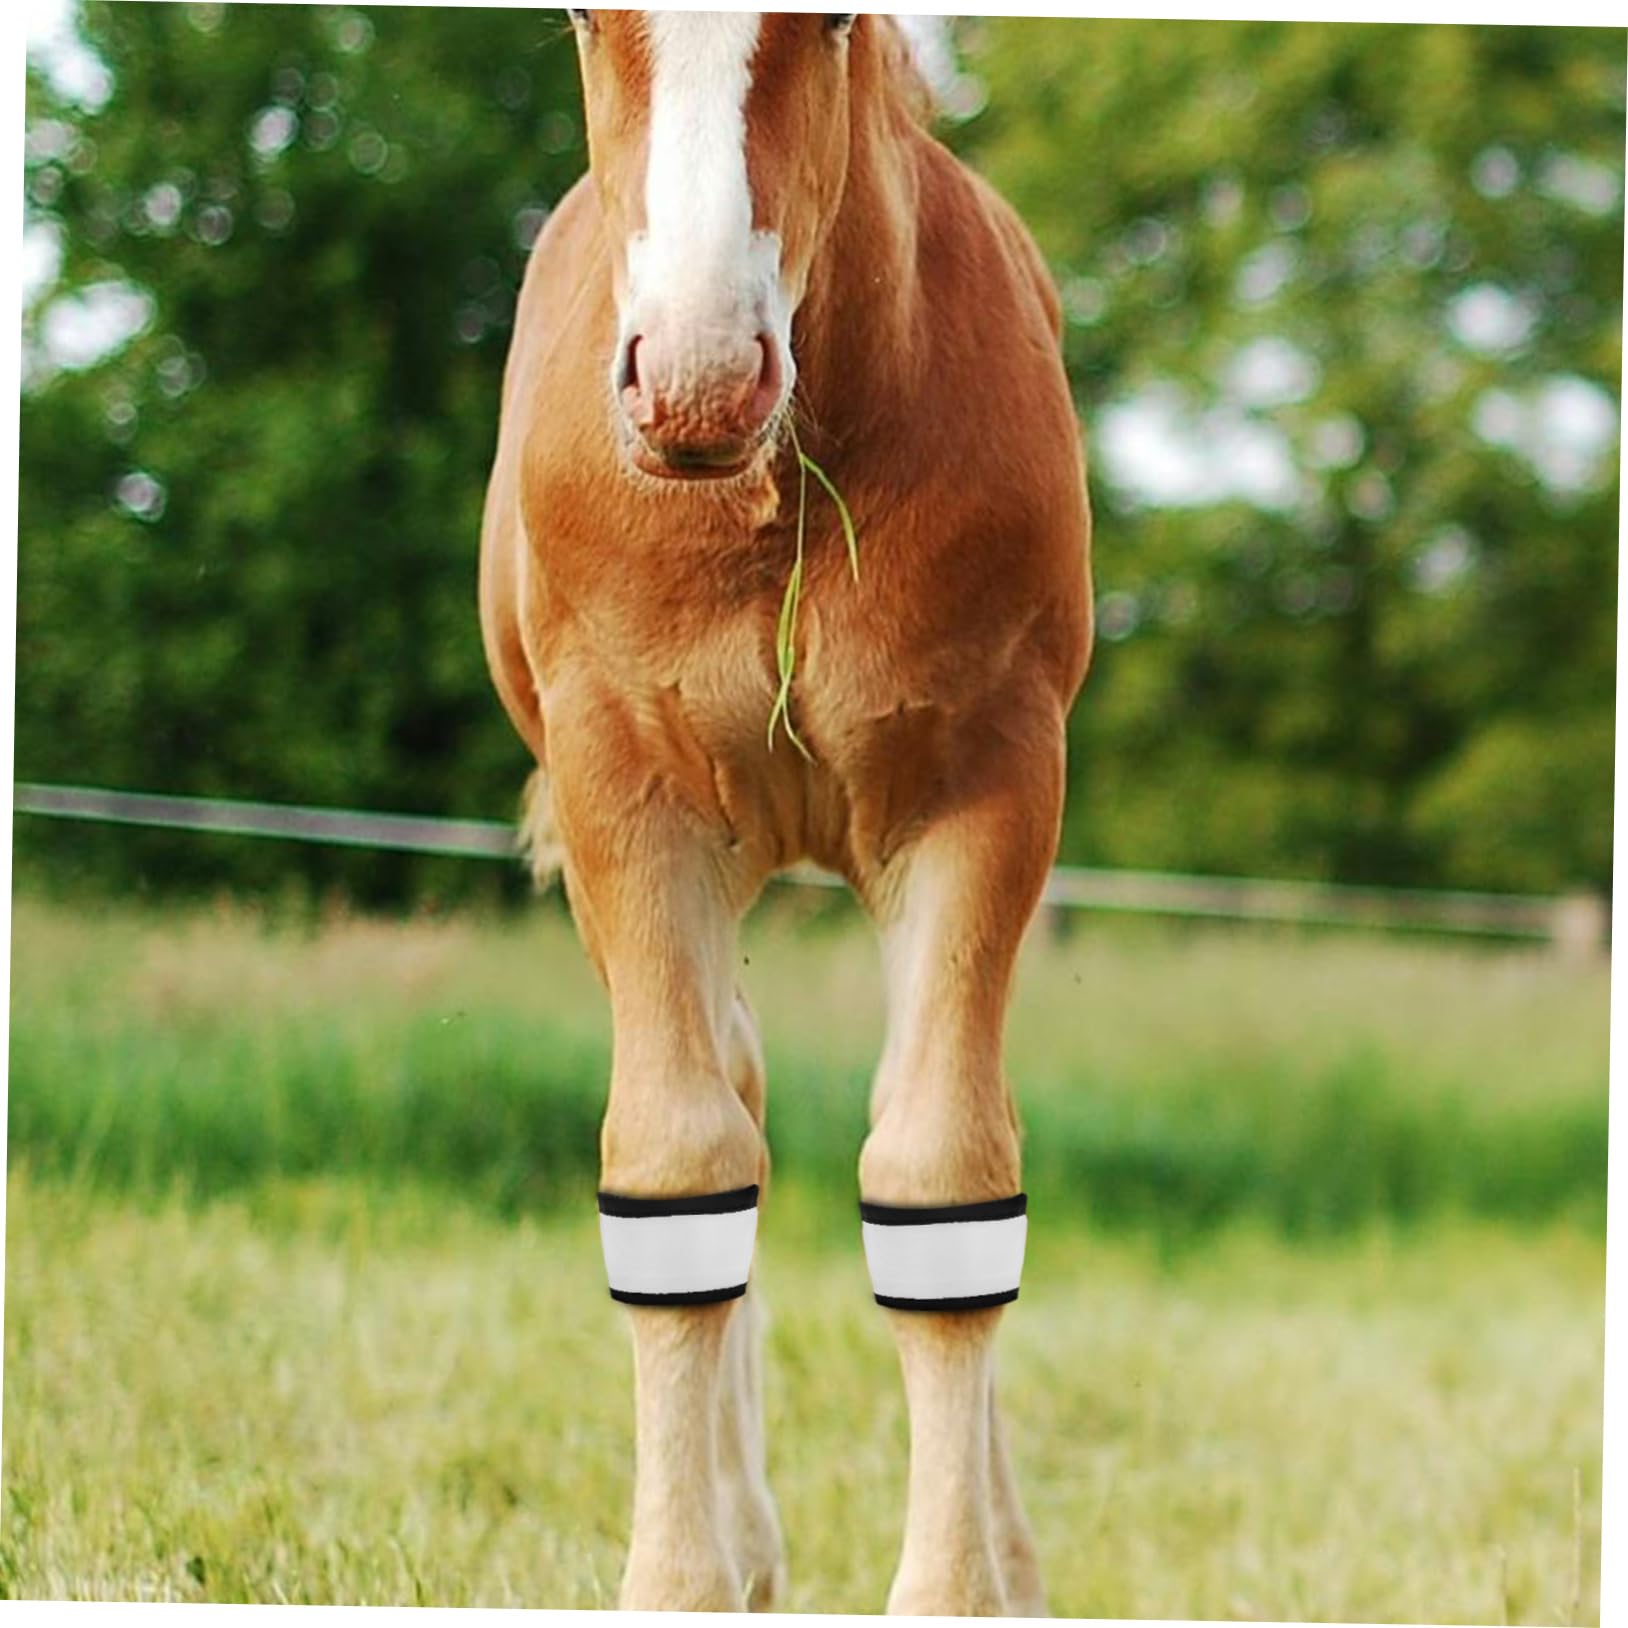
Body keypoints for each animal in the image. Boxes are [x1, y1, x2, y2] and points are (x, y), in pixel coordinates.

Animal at [478, 11, 1092, 1613]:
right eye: (580, 23)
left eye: (831, 25)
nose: (698, 381)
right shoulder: (621, 792)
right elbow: (678, 1163)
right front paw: (688, 1574)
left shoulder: (985, 785)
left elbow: (943, 1172)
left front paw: (964, 1584)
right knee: (731, 1096)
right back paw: (749, 1539)